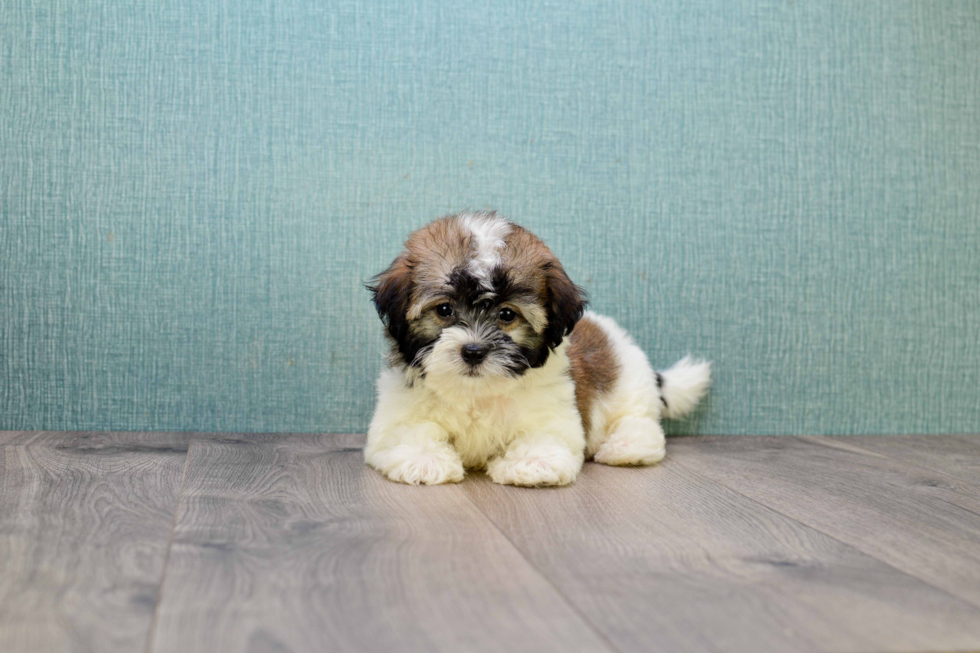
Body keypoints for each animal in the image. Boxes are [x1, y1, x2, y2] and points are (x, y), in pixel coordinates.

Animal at [364, 211, 708, 486]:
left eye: (507, 314)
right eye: (445, 309)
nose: (473, 351)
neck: (477, 392)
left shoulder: (553, 413)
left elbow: (543, 436)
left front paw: (532, 463)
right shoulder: (400, 412)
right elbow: (409, 432)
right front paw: (424, 459)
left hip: (628, 388)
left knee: (639, 422)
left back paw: (626, 447)